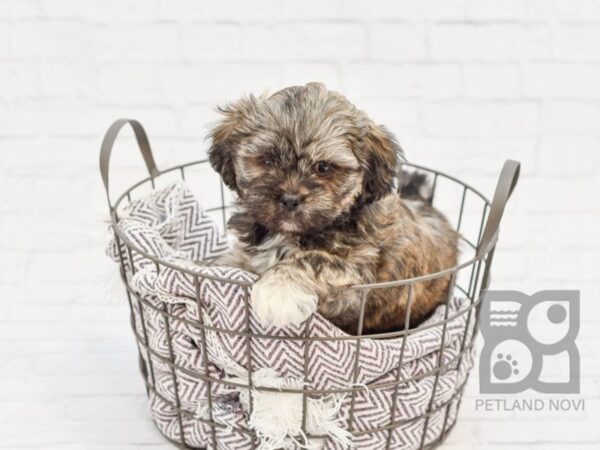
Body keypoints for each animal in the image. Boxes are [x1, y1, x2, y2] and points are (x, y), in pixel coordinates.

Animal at [209, 82, 458, 334]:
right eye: (268, 160)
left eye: (324, 167)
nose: (290, 199)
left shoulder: (359, 268)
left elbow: (313, 259)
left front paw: (277, 289)